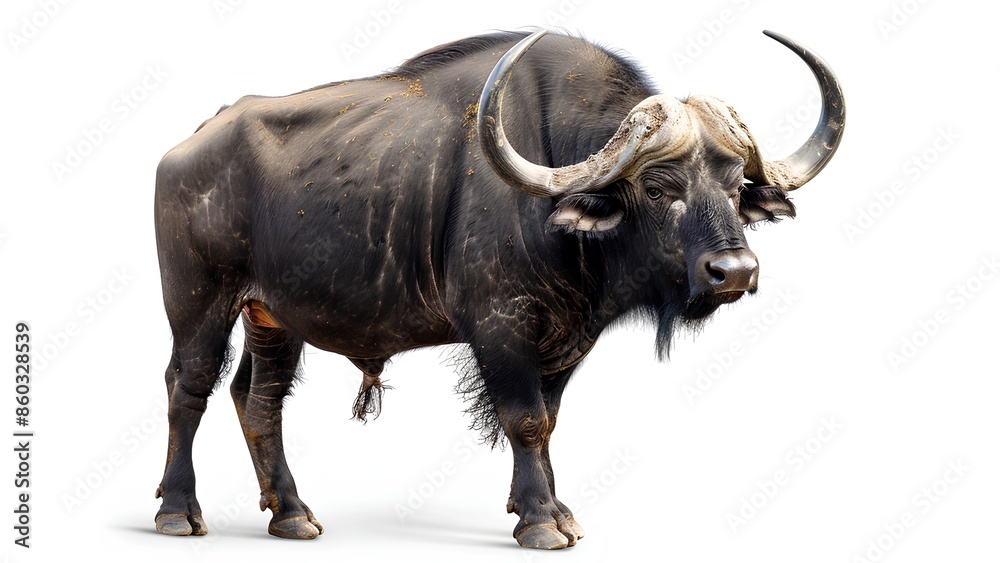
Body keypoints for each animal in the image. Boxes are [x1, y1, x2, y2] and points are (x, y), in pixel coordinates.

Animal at [152, 29, 844, 549]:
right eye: (656, 187)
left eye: (733, 184)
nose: (737, 271)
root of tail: (187, 148)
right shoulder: (499, 323)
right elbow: (525, 418)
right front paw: (540, 521)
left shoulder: (568, 336)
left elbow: (551, 418)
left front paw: (554, 509)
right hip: (199, 303)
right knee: (189, 388)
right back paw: (178, 511)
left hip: (274, 316)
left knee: (258, 399)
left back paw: (291, 513)